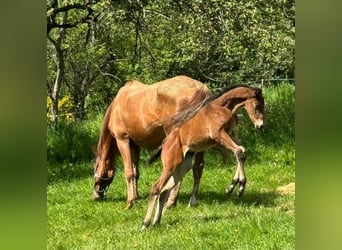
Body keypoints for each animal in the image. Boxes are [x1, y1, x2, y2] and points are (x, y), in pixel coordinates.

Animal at [141, 85, 264, 229]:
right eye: (257, 105)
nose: (260, 126)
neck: (221, 107)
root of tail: (165, 142)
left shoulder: (226, 136)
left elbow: (241, 151)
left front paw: (232, 186)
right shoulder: (219, 135)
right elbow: (239, 151)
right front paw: (239, 187)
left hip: (183, 166)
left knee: (164, 191)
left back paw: (157, 221)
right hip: (171, 164)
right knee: (156, 188)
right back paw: (145, 224)